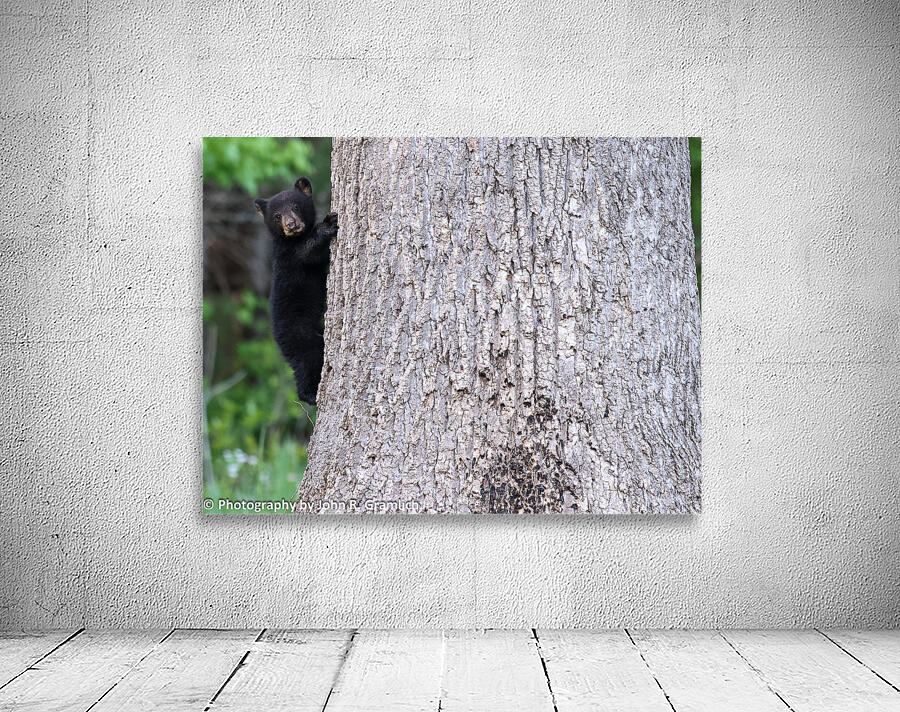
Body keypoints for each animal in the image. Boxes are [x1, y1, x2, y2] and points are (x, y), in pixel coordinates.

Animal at [254, 177, 338, 406]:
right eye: (277, 215)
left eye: (295, 206)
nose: (290, 225)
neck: (293, 239)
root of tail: (277, 338)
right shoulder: (290, 256)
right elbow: (308, 252)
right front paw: (327, 225)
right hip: (300, 336)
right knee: (307, 362)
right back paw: (310, 395)